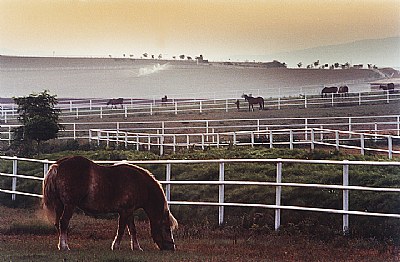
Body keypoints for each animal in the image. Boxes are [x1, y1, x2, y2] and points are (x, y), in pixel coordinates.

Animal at [41, 156, 177, 252]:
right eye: (167, 228)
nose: (172, 247)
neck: (139, 183)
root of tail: (58, 165)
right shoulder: (124, 211)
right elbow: (121, 229)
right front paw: (116, 246)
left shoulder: (129, 211)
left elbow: (132, 230)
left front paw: (137, 247)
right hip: (70, 205)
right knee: (63, 222)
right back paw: (65, 246)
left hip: (60, 205)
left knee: (58, 223)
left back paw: (61, 245)